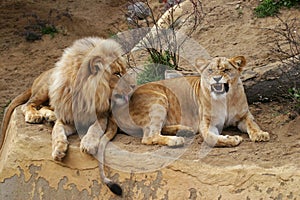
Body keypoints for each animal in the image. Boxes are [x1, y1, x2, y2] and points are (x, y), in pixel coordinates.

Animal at [110, 55, 270, 148]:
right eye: (210, 70)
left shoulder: (244, 115)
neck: (226, 98)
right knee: (149, 136)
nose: (217, 78)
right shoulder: (207, 122)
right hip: (159, 99)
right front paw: (232, 139)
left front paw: (260, 135)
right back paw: (176, 140)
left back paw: (185, 131)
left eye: (226, 70)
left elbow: (252, 124)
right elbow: (210, 138)